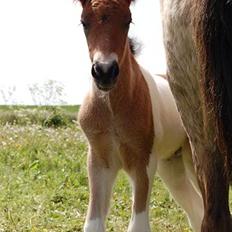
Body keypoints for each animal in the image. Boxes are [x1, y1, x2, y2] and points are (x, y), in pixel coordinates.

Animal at [77, 0, 203, 232]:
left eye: (128, 21)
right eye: (84, 22)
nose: (105, 72)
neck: (112, 110)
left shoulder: (143, 160)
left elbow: (138, 224)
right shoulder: (99, 160)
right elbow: (94, 223)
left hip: (192, 160)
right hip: (171, 166)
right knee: (196, 210)